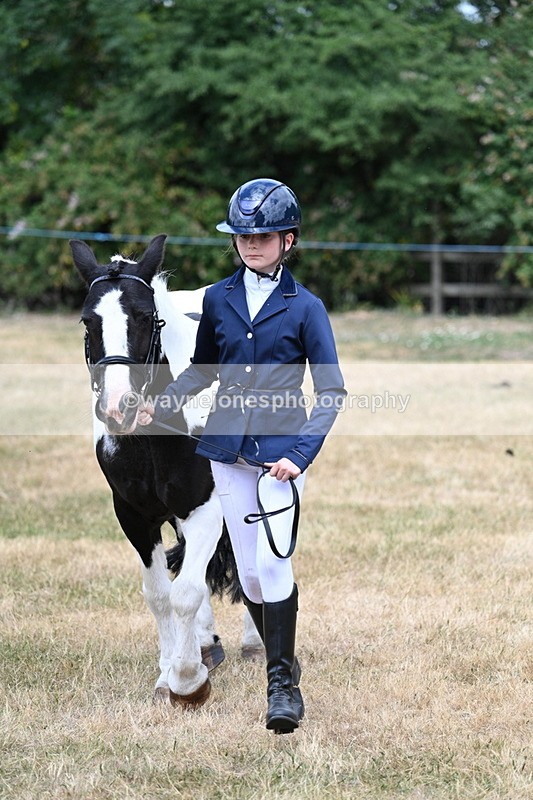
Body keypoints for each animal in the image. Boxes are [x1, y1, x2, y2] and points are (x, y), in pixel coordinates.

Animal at [70, 233, 262, 708]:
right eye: (87, 321)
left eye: (145, 316)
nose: (119, 407)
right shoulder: (134, 515)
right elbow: (160, 594)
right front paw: (170, 671)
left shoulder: (208, 509)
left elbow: (186, 591)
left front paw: (188, 681)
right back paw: (205, 643)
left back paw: (252, 642)